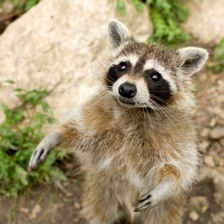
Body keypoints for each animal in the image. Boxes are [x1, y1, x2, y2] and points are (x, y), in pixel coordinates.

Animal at [28, 19, 208, 224]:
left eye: (154, 76)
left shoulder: (175, 132)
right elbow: (79, 129)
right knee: (101, 213)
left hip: (162, 210)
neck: (133, 110)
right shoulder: (98, 112)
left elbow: (180, 166)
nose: (127, 89)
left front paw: (167, 184)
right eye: (123, 66)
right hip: (101, 191)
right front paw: (55, 136)